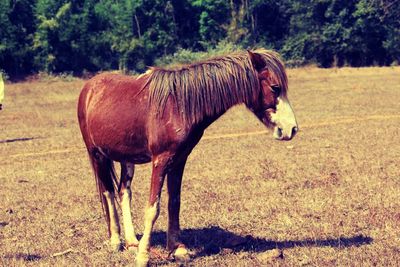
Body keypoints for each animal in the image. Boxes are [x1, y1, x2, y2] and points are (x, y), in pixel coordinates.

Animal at [77, 48, 296, 266]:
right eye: (275, 87)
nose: (291, 129)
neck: (177, 106)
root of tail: (89, 87)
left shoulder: (179, 159)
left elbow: (174, 202)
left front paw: (177, 249)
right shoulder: (160, 160)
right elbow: (153, 208)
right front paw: (143, 256)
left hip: (126, 158)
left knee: (124, 191)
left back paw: (131, 242)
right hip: (97, 155)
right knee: (107, 192)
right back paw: (116, 241)